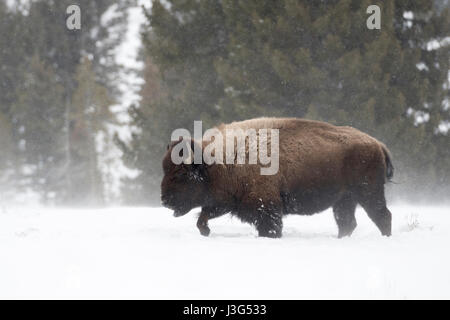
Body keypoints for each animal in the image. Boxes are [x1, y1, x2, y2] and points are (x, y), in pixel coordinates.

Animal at [162, 117, 394, 238]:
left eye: (181, 174)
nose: (164, 200)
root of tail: (377, 144)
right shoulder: (227, 202)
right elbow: (203, 216)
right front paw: (205, 231)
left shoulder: (265, 206)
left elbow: (270, 226)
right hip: (345, 200)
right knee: (347, 222)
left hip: (368, 193)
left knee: (382, 216)